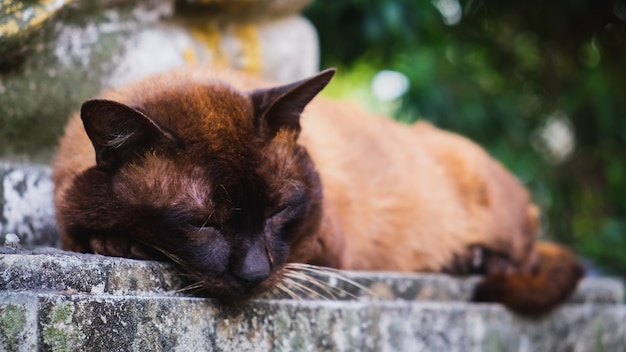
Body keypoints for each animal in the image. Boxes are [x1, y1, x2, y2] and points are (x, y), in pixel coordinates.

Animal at [52, 66, 580, 316]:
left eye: (279, 211)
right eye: (202, 223)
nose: (253, 274)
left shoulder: (324, 246)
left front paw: (118, 243)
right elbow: (75, 228)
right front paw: (111, 240)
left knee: (525, 255)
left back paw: (473, 261)